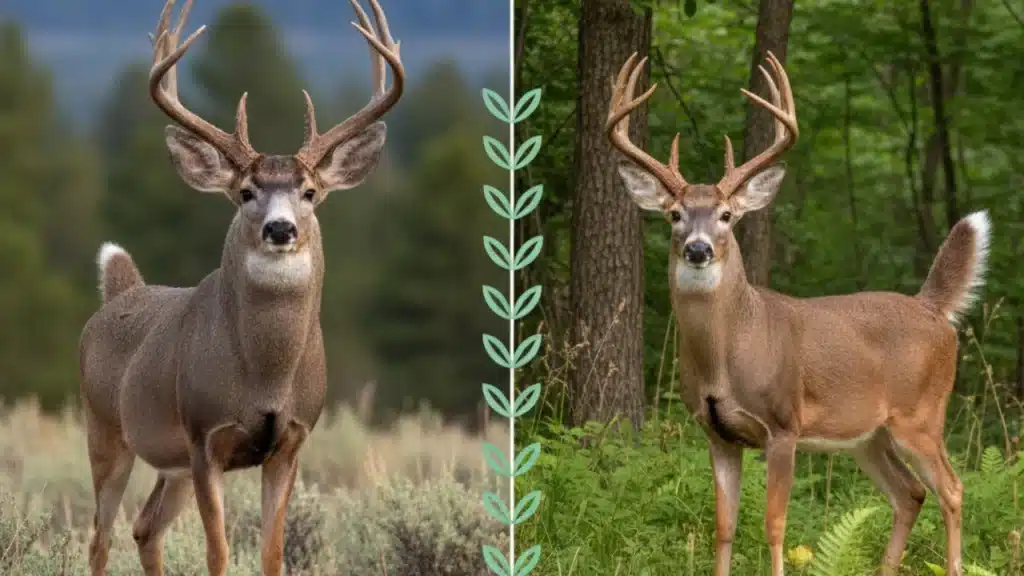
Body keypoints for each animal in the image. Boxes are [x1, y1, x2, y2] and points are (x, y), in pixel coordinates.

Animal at [77, 0, 403, 574]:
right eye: (247, 191)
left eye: (310, 192)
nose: (281, 228)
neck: (265, 374)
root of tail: (120, 292)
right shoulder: (205, 436)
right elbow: (219, 551)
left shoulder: (291, 441)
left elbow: (273, 553)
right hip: (106, 430)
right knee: (101, 535)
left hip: (170, 464)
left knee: (145, 528)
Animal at [606, 51, 989, 576]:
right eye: (674, 215)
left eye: (727, 215)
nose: (698, 249)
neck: (727, 355)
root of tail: (931, 308)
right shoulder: (716, 433)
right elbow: (723, 527)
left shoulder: (783, 425)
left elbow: (774, 526)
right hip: (868, 435)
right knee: (909, 494)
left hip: (922, 413)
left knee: (952, 489)